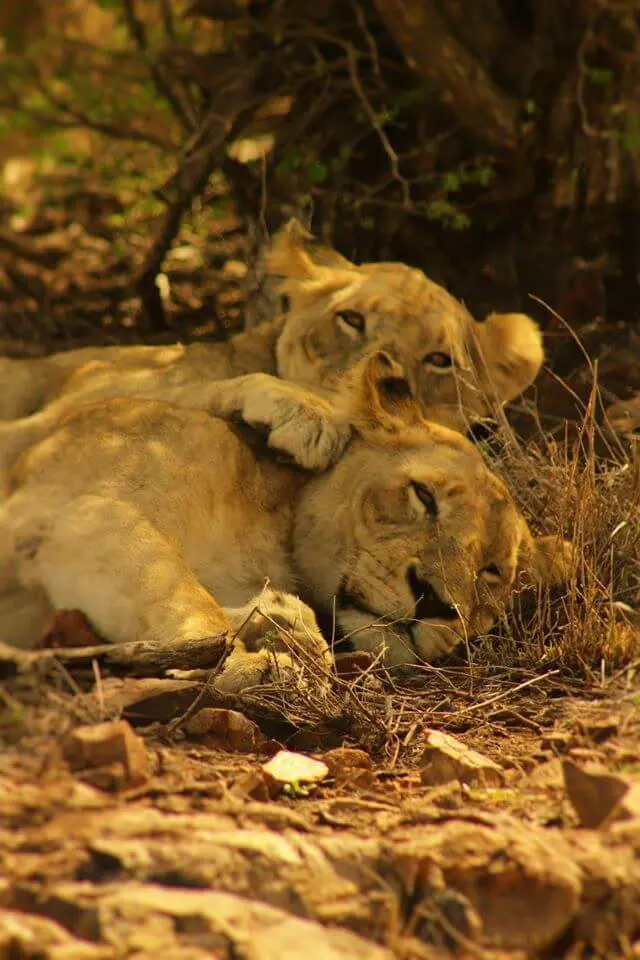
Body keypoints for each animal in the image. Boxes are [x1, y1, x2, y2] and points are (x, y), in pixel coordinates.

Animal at [0, 351, 571, 692]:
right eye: (423, 496)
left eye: (492, 573)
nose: (433, 600)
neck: (273, 525)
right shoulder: (76, 513)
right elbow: (182, 594)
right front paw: (247, 661)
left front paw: (279, 623)